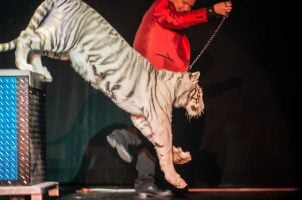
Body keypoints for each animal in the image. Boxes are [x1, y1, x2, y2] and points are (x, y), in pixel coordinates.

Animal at [0, 0, 204, 188]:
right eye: (200, 95)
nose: (202, 109)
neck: (173, 88)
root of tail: (68, 1)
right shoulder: (160, 119)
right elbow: (165, 145)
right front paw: (176, 179)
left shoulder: (141, 118)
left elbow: (159, 143)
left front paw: (180, 157)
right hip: (61, 37)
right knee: (25, 37)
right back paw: (23, 65)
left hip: (60, 46)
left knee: (34, 48)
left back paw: (41, 72)